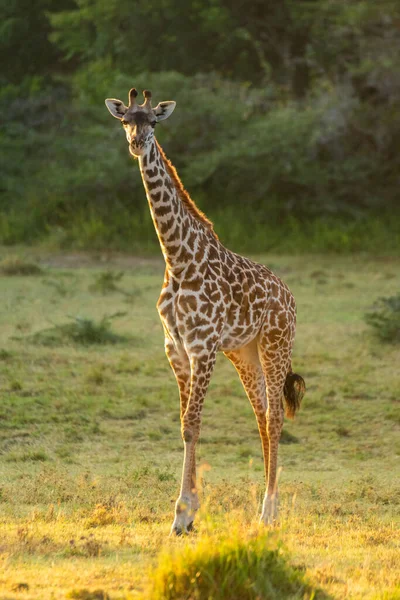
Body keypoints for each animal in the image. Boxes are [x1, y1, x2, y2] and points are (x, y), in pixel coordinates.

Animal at [104, 89, 304, 536]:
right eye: (125, 119)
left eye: (153, 122)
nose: (136, 143)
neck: (178, 260)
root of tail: (289, 296)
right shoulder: (175, 348)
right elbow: (185, 425)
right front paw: (187, 513)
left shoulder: (203, 347)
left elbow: (192, 424)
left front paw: (182, 512)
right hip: (244, 352)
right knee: (262, 415)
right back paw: (264, 506)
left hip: (275, 345)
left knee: (276, 419)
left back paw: (269, 513)